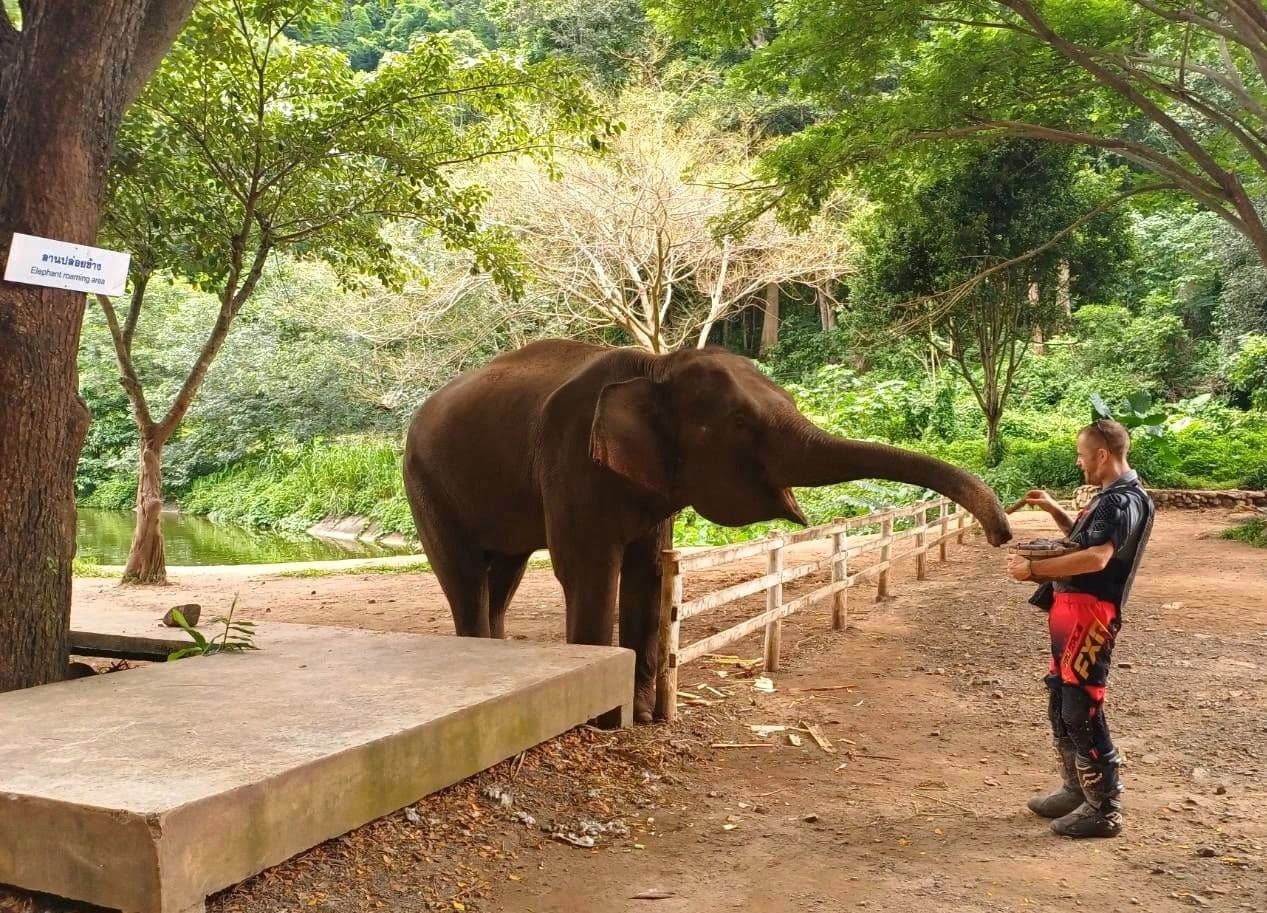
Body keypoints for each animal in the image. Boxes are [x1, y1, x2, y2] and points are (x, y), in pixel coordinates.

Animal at [403, 339, 1012, 723]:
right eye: (741, 424)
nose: (1002, 536)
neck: (656, 364)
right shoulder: (571, 458)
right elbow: (588, 568)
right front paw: (604, 720)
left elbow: (649, 572)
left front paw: (641, 716)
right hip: (423, 482)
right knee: (463, 572)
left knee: (503, 571)